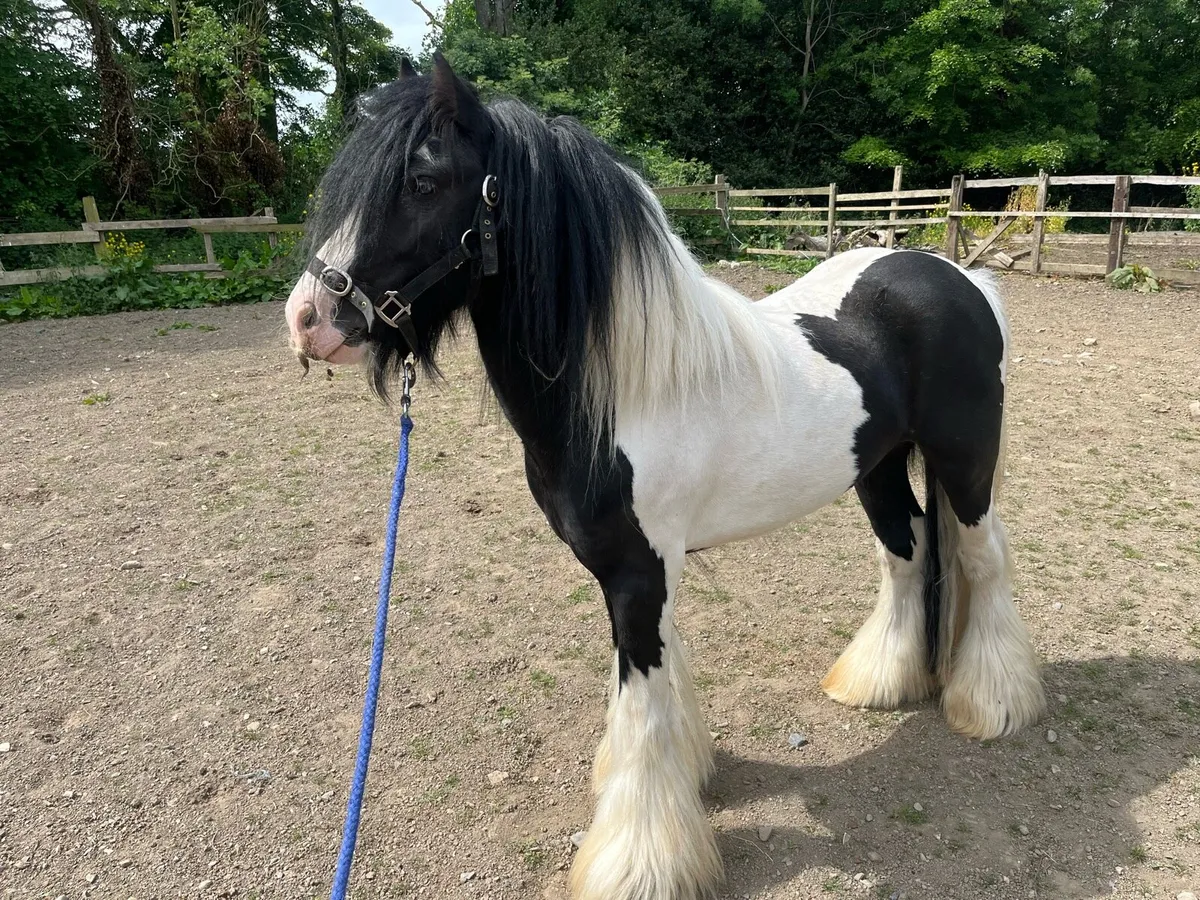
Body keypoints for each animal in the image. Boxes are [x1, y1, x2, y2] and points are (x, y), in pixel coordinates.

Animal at [283, 53, 1045, 900]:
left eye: (422, 180)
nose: (307, 320)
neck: (623, 393)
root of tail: (959, 279)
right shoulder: (638, 570)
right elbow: (659, 681)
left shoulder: (640, 573)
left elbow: (642, 698)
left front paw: (639, 859)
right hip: (876, 467)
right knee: (906, 552)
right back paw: (877, 679)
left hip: (965, 461)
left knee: (981, 558)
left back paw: (993, 703)